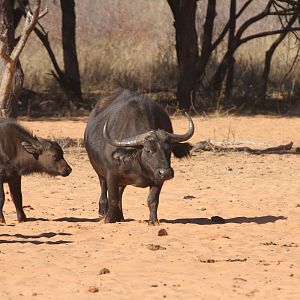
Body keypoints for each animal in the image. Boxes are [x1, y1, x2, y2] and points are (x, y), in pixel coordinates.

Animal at [84, 89, 195, 225]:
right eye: (148, 151)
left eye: (168, 149)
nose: (166, 173)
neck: (138, 163)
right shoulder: (111, 175)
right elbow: (113, 199)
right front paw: (109, 219)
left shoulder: (158, 179)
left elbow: (152, 200)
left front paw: (153, 221)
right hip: (100, 173)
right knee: (104, 191)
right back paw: (103, 213)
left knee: (120, 193)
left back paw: (120, 217)